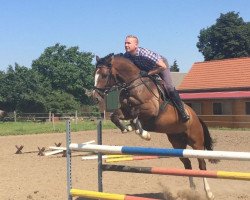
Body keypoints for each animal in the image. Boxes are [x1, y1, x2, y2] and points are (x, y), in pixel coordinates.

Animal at [93, 53, 218, 200]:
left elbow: (136, 114)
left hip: (196, 142)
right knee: (187, 164)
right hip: (177, 143)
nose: (95, 97)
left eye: (104, 75)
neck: (133, 85)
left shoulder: (151, 109)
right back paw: (192, 191)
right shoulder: (125, 110)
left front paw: (143, 133)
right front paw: (127, 128)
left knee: (201, 165)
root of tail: (196, 117)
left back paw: (209, 193)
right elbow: (115, 116)